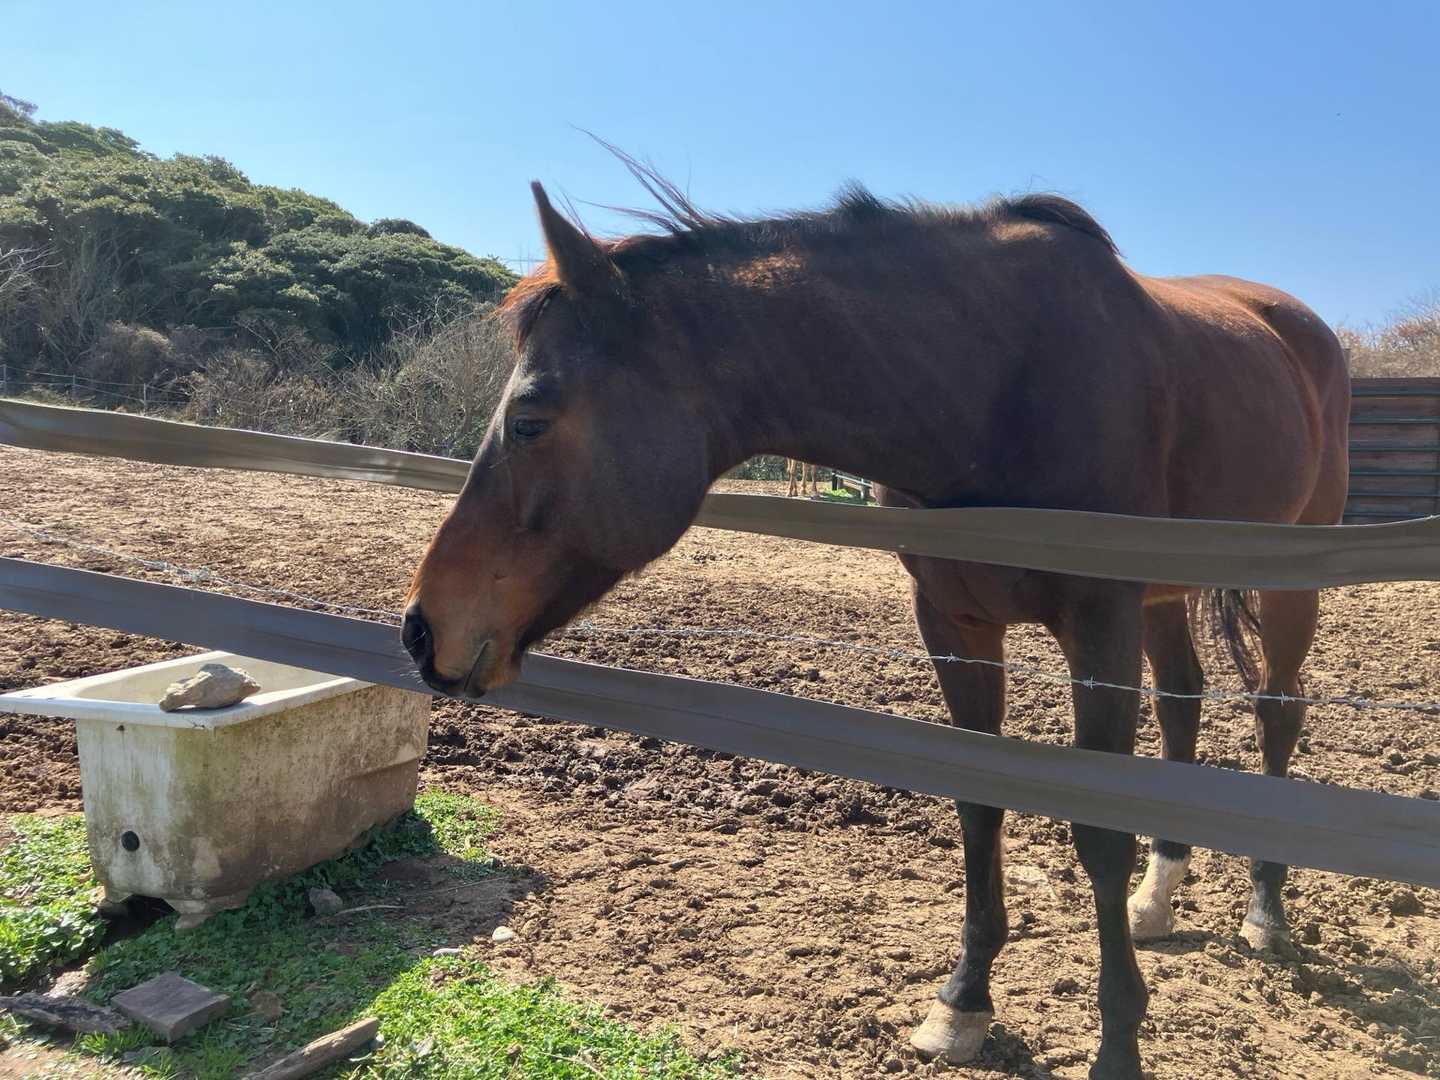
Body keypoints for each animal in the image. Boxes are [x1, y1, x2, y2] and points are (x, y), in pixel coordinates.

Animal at [402, 168, 1350, 1078]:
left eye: (530, 419)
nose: (421, 629)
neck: (995, 383)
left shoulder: (1098, 624)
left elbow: (1099, 830)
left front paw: (1118, 1047)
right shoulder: (956, 623)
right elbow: (979, 804)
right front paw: (963, 1004)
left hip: (1286, 581)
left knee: (1277, 712)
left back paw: (1266, 911)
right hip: (1167, 594)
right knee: (1184, 704)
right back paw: (1159, 897)